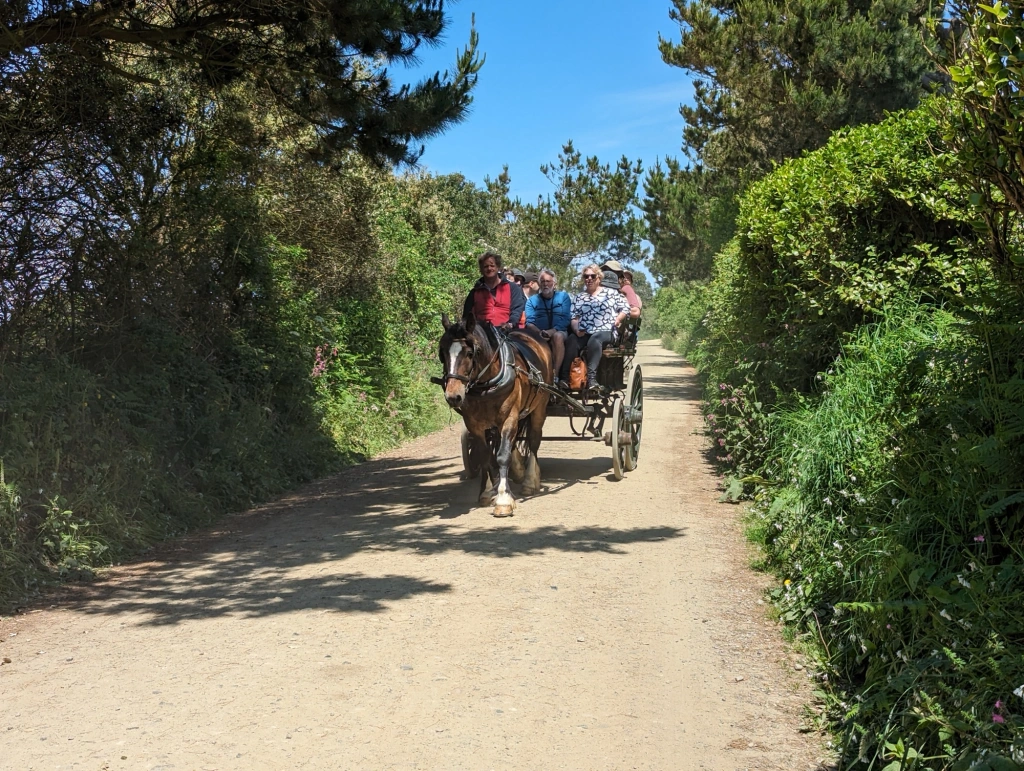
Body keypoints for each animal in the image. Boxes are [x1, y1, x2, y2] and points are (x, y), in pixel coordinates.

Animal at [438, 313, 552, 518]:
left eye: (470, 353)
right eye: (442, 353)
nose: (453, 396)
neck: (486, 384)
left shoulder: (509, 418)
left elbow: (502, 456)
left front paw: (503, 499)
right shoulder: (474, 424)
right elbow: (485, 455)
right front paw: (487, 491)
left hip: (540, 406)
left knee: (533, 440)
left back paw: (530, 480)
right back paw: (518, 471)